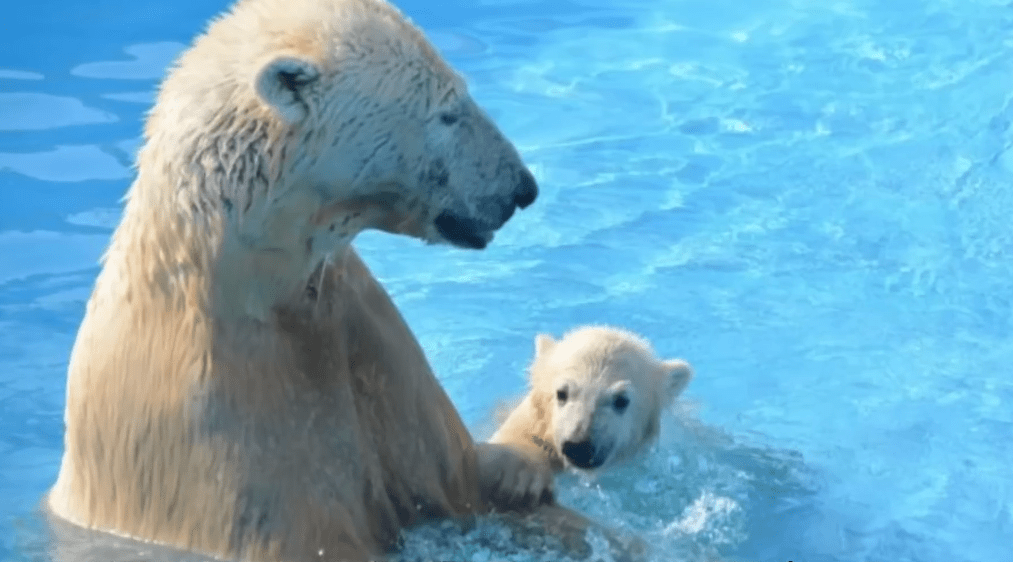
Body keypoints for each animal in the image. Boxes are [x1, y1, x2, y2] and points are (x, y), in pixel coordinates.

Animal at [43, 0, 624, 558]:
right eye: (448, 112)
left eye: (461, 95)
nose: (521, 188)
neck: (258, 291)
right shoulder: (226, 432)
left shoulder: (364, 342)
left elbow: (458, 476)